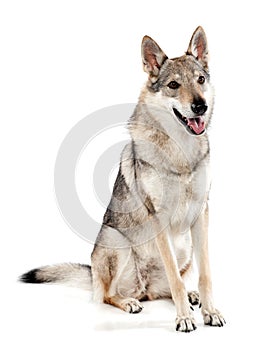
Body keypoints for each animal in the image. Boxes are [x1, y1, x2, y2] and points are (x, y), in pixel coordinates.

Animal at [20, 26, 223, 332]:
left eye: (200, 80)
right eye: (174, 85)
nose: (200, 106)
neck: (181, 151)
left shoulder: (201, 213)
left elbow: (206, 275)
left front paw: (210, 311)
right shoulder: (159, 217)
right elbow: (175, 279)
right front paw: (184, 318)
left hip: (184, 246)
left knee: (166, 286)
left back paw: (189, 296)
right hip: (118, 244)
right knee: (109, 294)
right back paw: (130, 302)